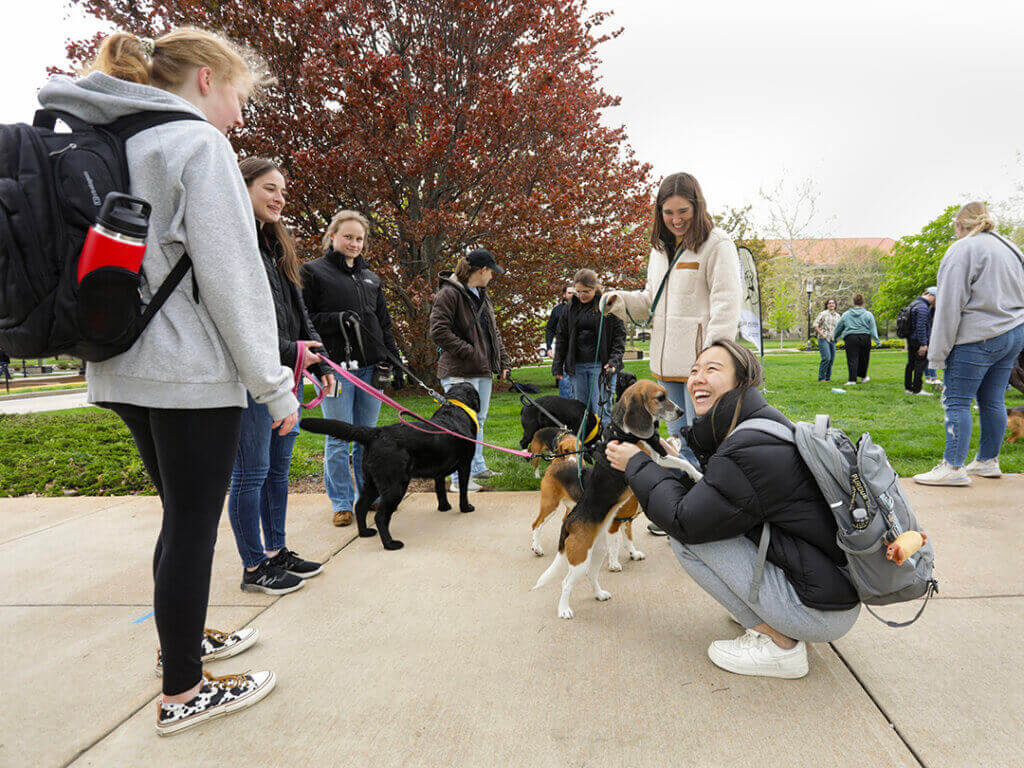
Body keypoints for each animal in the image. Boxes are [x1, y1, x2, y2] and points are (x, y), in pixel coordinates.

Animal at [532, 382, 684, 622]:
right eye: (660, 398)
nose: (681, 412)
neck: (623, 432)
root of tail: (570, 524)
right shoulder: (651, 459)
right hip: (575, 551)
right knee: (565, 581)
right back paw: (563, 608)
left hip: (596, 552)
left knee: (591, 574)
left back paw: (599, 594)